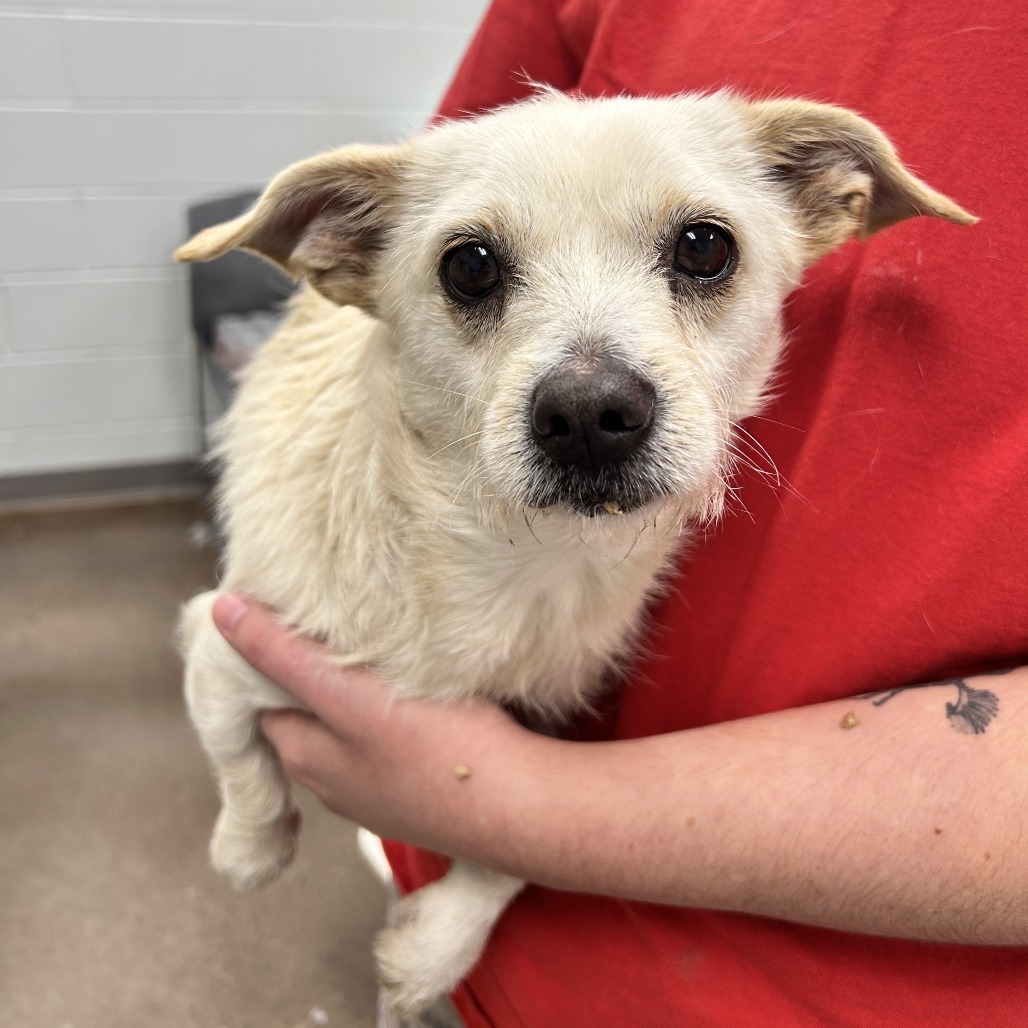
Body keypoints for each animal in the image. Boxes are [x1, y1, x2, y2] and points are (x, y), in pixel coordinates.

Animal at [176, 92, 970, 1015]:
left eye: (705, 247)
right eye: (470, 265)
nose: (591, 414)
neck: (512, 561)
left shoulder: (535, 737)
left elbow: (502, 847)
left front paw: (434, 949)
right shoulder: (220, 636)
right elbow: (240, 754)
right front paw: (250, 849)